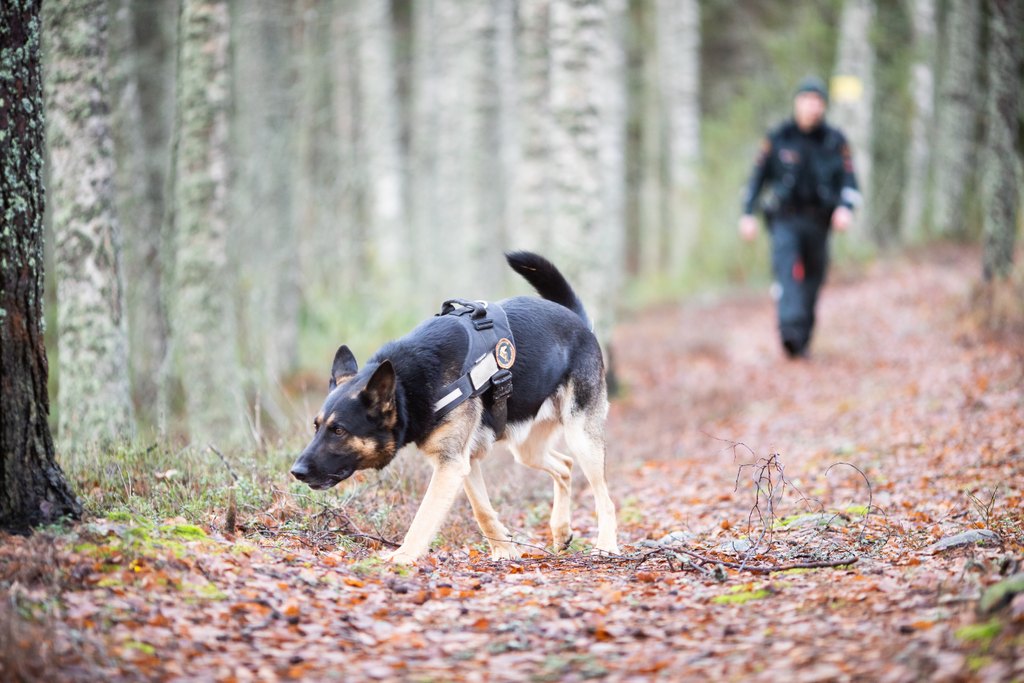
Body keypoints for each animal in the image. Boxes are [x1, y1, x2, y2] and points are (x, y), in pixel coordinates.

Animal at [292, 253, 618, 565]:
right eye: (316, 426)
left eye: (339, 430)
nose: (296, 472)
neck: (408, 386)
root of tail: (578, 321)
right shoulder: (465, 460)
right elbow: (482, 511)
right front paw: (504, 550)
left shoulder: (450, 465)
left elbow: (424, 517)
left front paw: (403, 556)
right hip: (527, 449)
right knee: (564, 466)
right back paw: (561, 530)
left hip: (581, 438)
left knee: (605, 498)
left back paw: (606, 546)